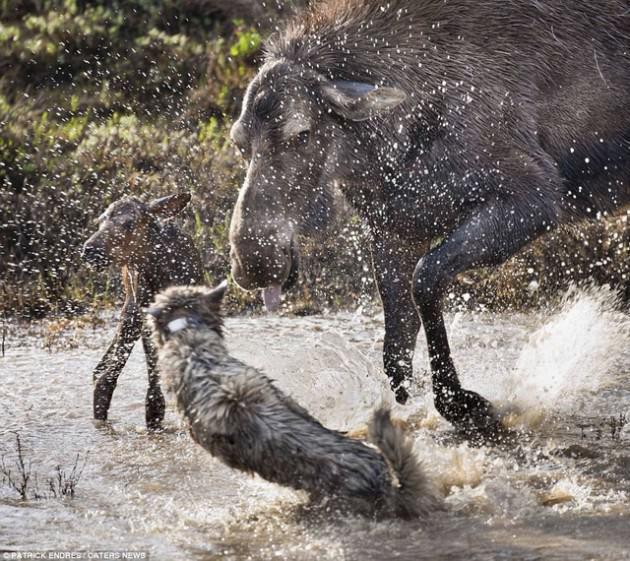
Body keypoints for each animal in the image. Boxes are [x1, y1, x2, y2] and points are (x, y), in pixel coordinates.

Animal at [228, 0, 630, 434]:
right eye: (239, 143)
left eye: (302, 133)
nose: (253, 262)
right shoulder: (396, 227)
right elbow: (395, 344)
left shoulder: (533, 197)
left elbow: (426, 280)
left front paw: (461, 404)